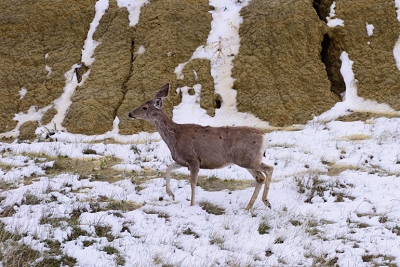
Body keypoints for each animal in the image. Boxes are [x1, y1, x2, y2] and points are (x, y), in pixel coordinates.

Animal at [130, 82, 274, 210]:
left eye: (144, 107)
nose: (130, 114)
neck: (175, 137)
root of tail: (265, 137)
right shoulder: (183, 160)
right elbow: (168, 167)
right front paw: (171, 195)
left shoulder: (193, 159)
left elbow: (193, 182)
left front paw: (192, 206)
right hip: (247, 160)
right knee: (260, 177)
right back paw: (249, 207)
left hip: (248, 159)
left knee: (269, 169)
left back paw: (266, 201)